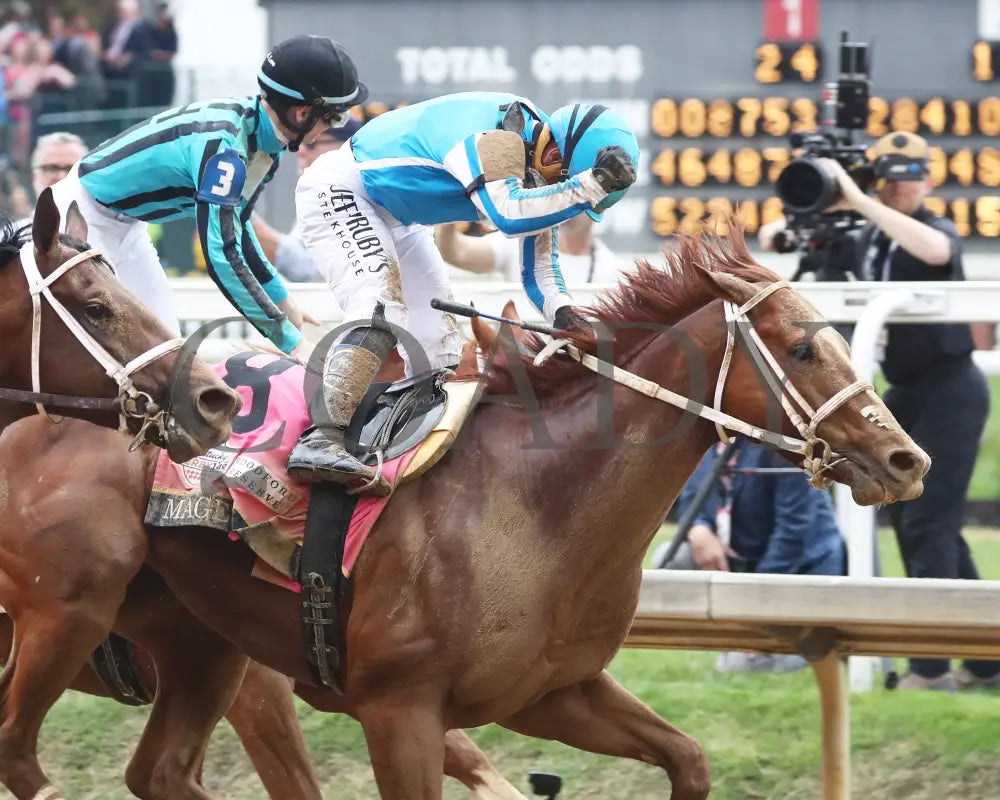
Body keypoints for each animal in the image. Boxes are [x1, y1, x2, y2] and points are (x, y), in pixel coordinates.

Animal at [0, 225, 924, 800]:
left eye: (836, 335)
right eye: (802, 348)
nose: (905, 461)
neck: (535, 505)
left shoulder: (551, 692)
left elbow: (689, 760)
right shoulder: (395, 709)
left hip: (200, 646)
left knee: (157, 770)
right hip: (68, 613)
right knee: (24, 746)